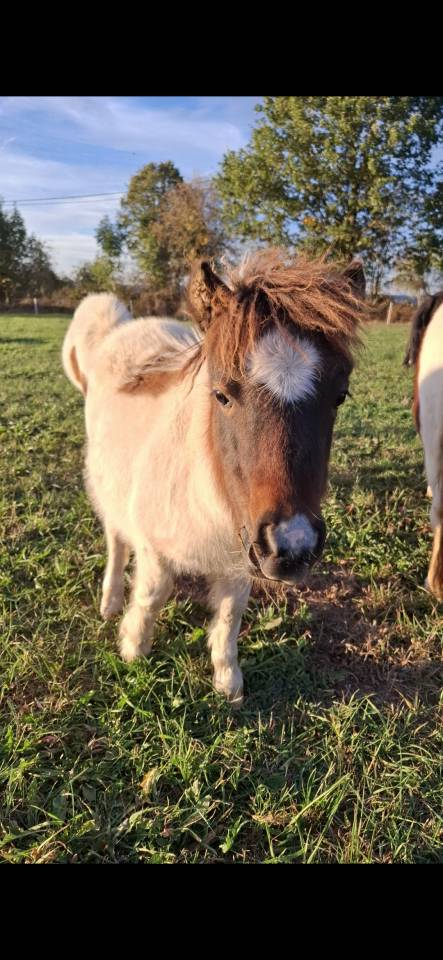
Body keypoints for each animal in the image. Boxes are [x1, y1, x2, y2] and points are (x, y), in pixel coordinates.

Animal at [62, 249, 364, 704]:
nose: (292, 548)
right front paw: (133, 650)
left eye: (340, 396)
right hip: (107, 485)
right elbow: (150, 597)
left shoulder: (241, 560)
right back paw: (110, 602)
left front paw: (228, 684)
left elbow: (228, 619)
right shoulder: (154, 549)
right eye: (221, 394)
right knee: (115, 540)